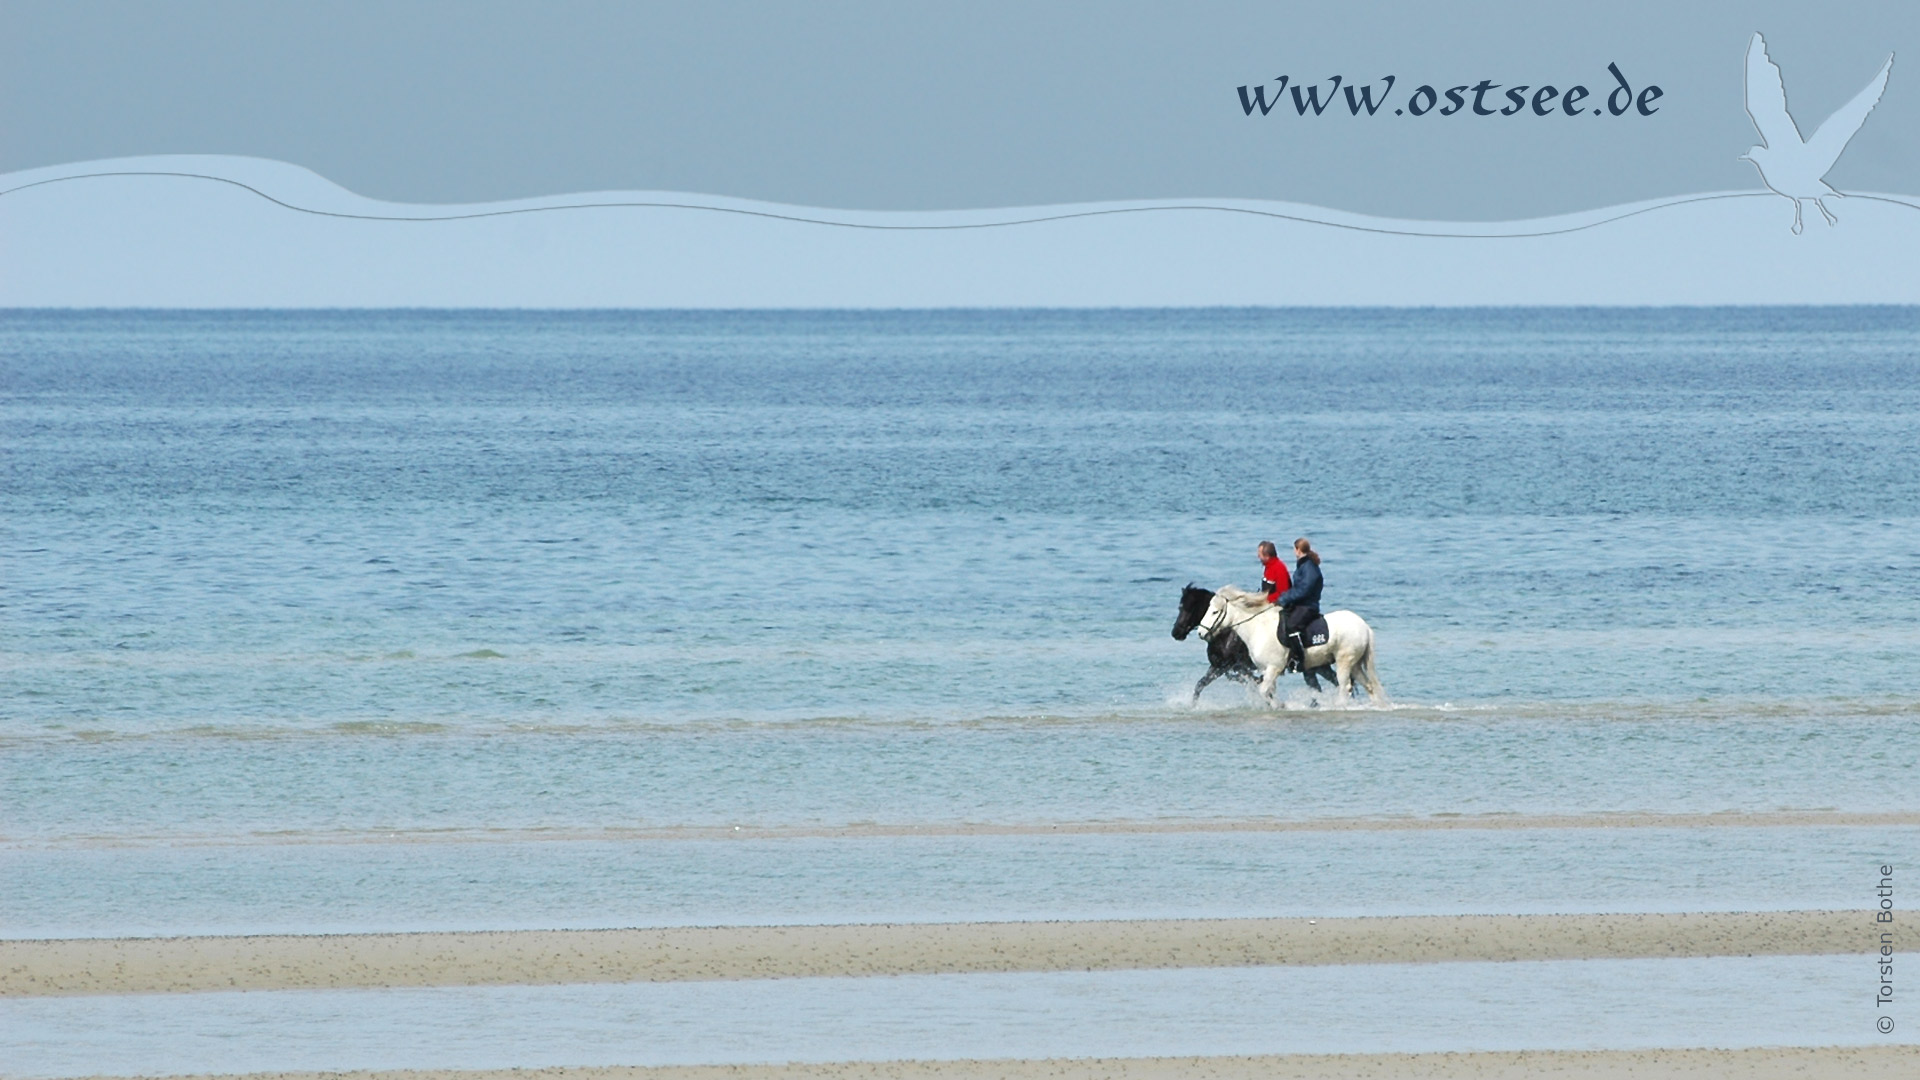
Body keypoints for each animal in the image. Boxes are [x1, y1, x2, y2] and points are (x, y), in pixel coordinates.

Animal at [1167, 580, 1336, 699]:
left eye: (1186, 608)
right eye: (1180, 607)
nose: (1176, 633)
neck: (1225, 634)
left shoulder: (1230, 666)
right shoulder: (1218, 666)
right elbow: (1200, 685)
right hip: (1314, 666)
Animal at [1198, 584, 1382, 703]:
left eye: (1214, 612)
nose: (1200, 633)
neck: (1258, 627)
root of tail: (1364, 626)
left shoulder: (1274, 668)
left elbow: (1263, 691)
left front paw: (1279, 706)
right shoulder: (1265, 670)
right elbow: (1268, 691)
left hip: (1344, 661)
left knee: (1345, 687)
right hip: (1355, 664)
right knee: (1368, 686)